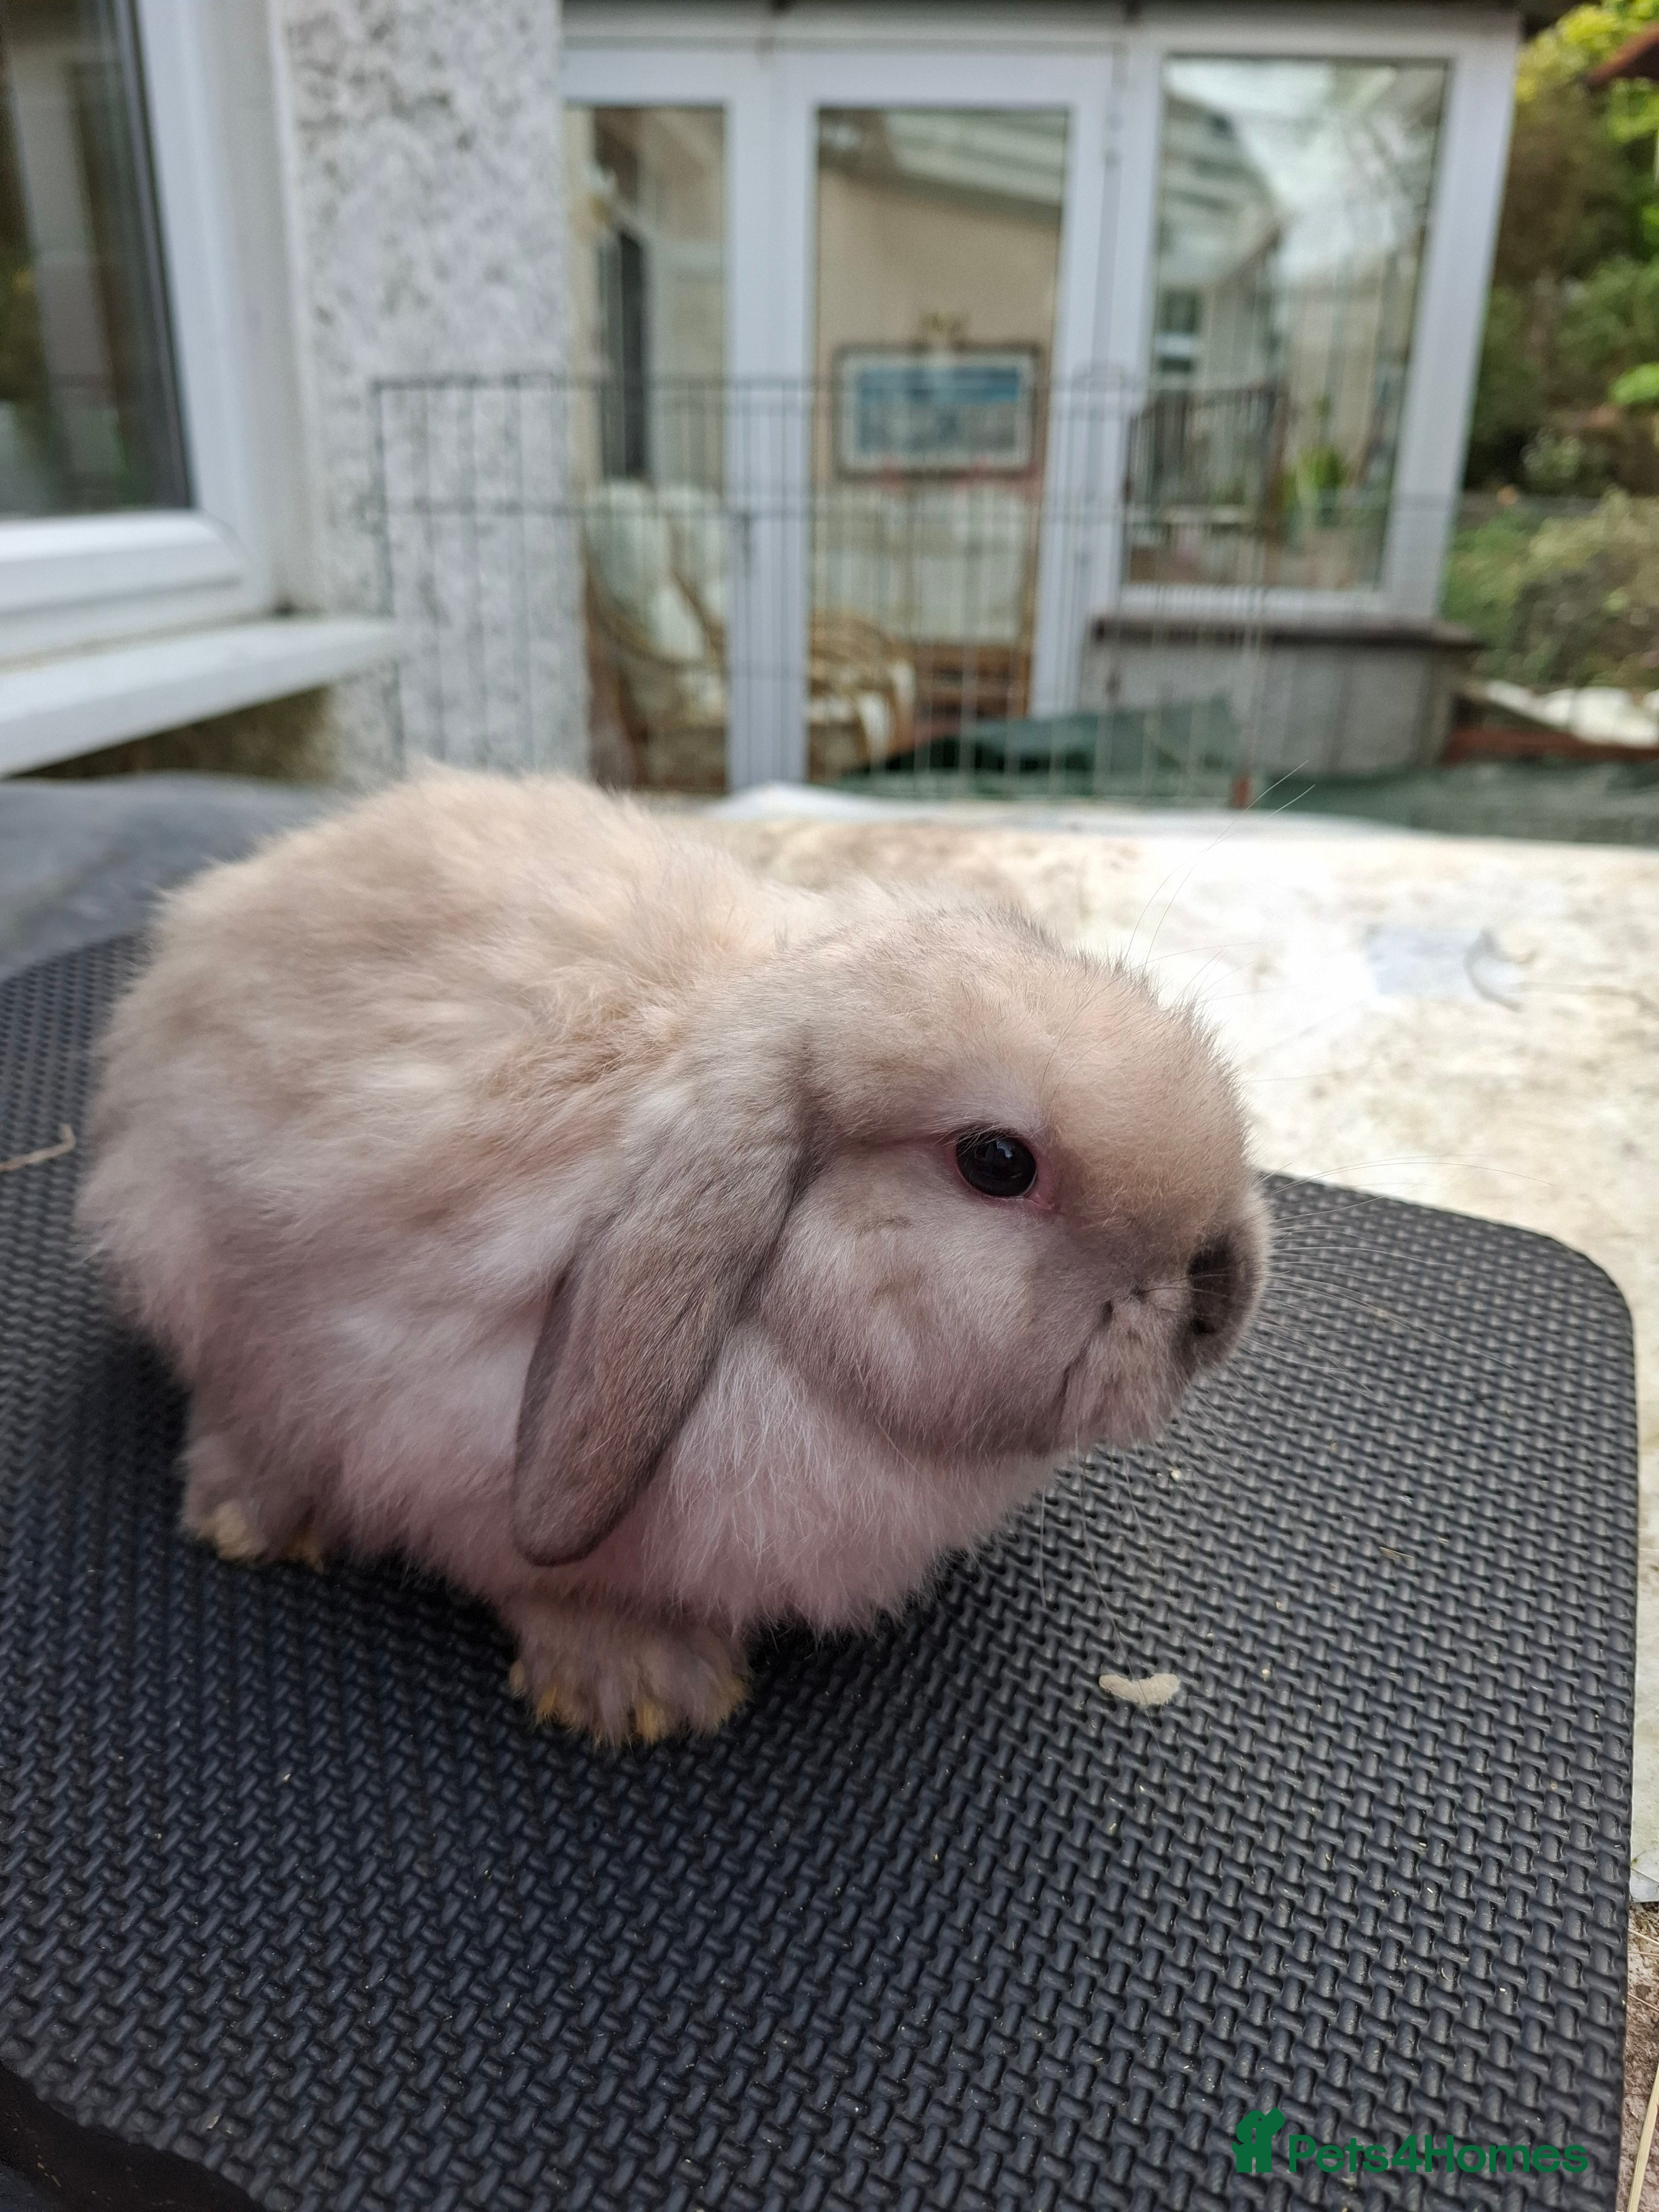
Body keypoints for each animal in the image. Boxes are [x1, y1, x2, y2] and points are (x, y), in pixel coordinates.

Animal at [78, 770, 1267, 1746]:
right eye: (997, 1162)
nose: (1222, 1291)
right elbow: (543, 1580)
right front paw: (641, 1688)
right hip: (190, 1263)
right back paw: (251, 1512)